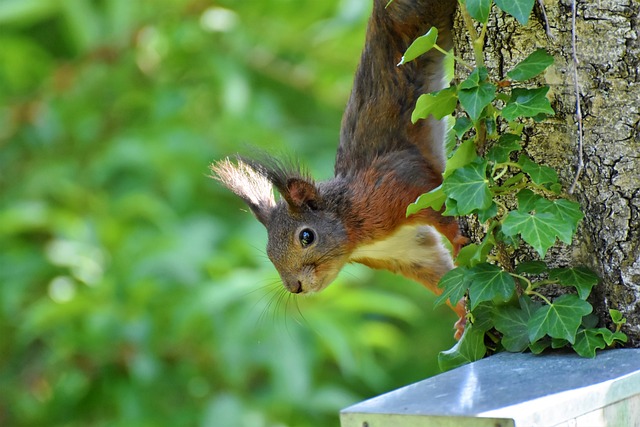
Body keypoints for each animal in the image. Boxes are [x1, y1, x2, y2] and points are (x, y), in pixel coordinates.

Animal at [212, 0, 468, 342]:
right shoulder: (407, 252)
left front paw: (458, 237)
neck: (351, 225)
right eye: (268, 253)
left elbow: (439, 203)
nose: (295, 287)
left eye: (307, 236)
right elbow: (438, 276)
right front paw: (464, 316)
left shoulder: (400, 185)